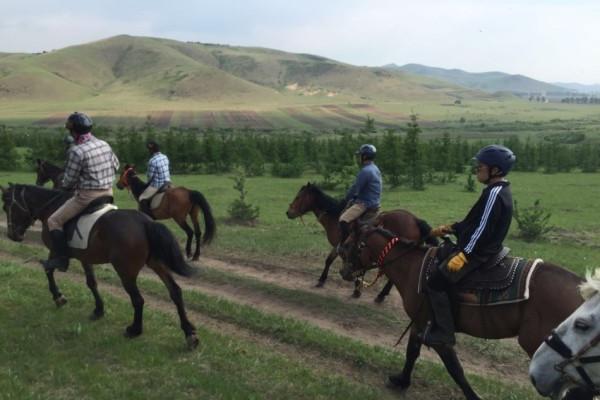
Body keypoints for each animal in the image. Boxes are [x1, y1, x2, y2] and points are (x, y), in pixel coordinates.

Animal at [0, 183, 202, 348]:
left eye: (6, 206)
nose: (12, 235)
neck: (51, 207)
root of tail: (145, 221)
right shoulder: (85, 257)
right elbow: (91, 283)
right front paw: (98, 310)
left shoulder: (56, 252)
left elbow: (49, 270)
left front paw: (59, 297)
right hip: (156, 263)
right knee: (175, 291)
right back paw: (189, 333)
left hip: (125, 271)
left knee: (138, 299)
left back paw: (134, 330)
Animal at [288, 183, 436, 302]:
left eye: (298, 197)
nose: (288, 212)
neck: (335, 216)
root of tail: (415, 220)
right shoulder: (343, 248)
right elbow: (336, 262)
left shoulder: (341, 246)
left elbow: (343, 264)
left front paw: (353, 289)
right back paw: (382, 295)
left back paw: (381, 295)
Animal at [340, 223, 584, 398]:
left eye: (350, 244)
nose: (344, 272)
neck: (413, 268)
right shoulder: (420, 323)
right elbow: (412, 353)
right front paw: (401, 381)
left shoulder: (438, 334)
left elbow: (455, 369)